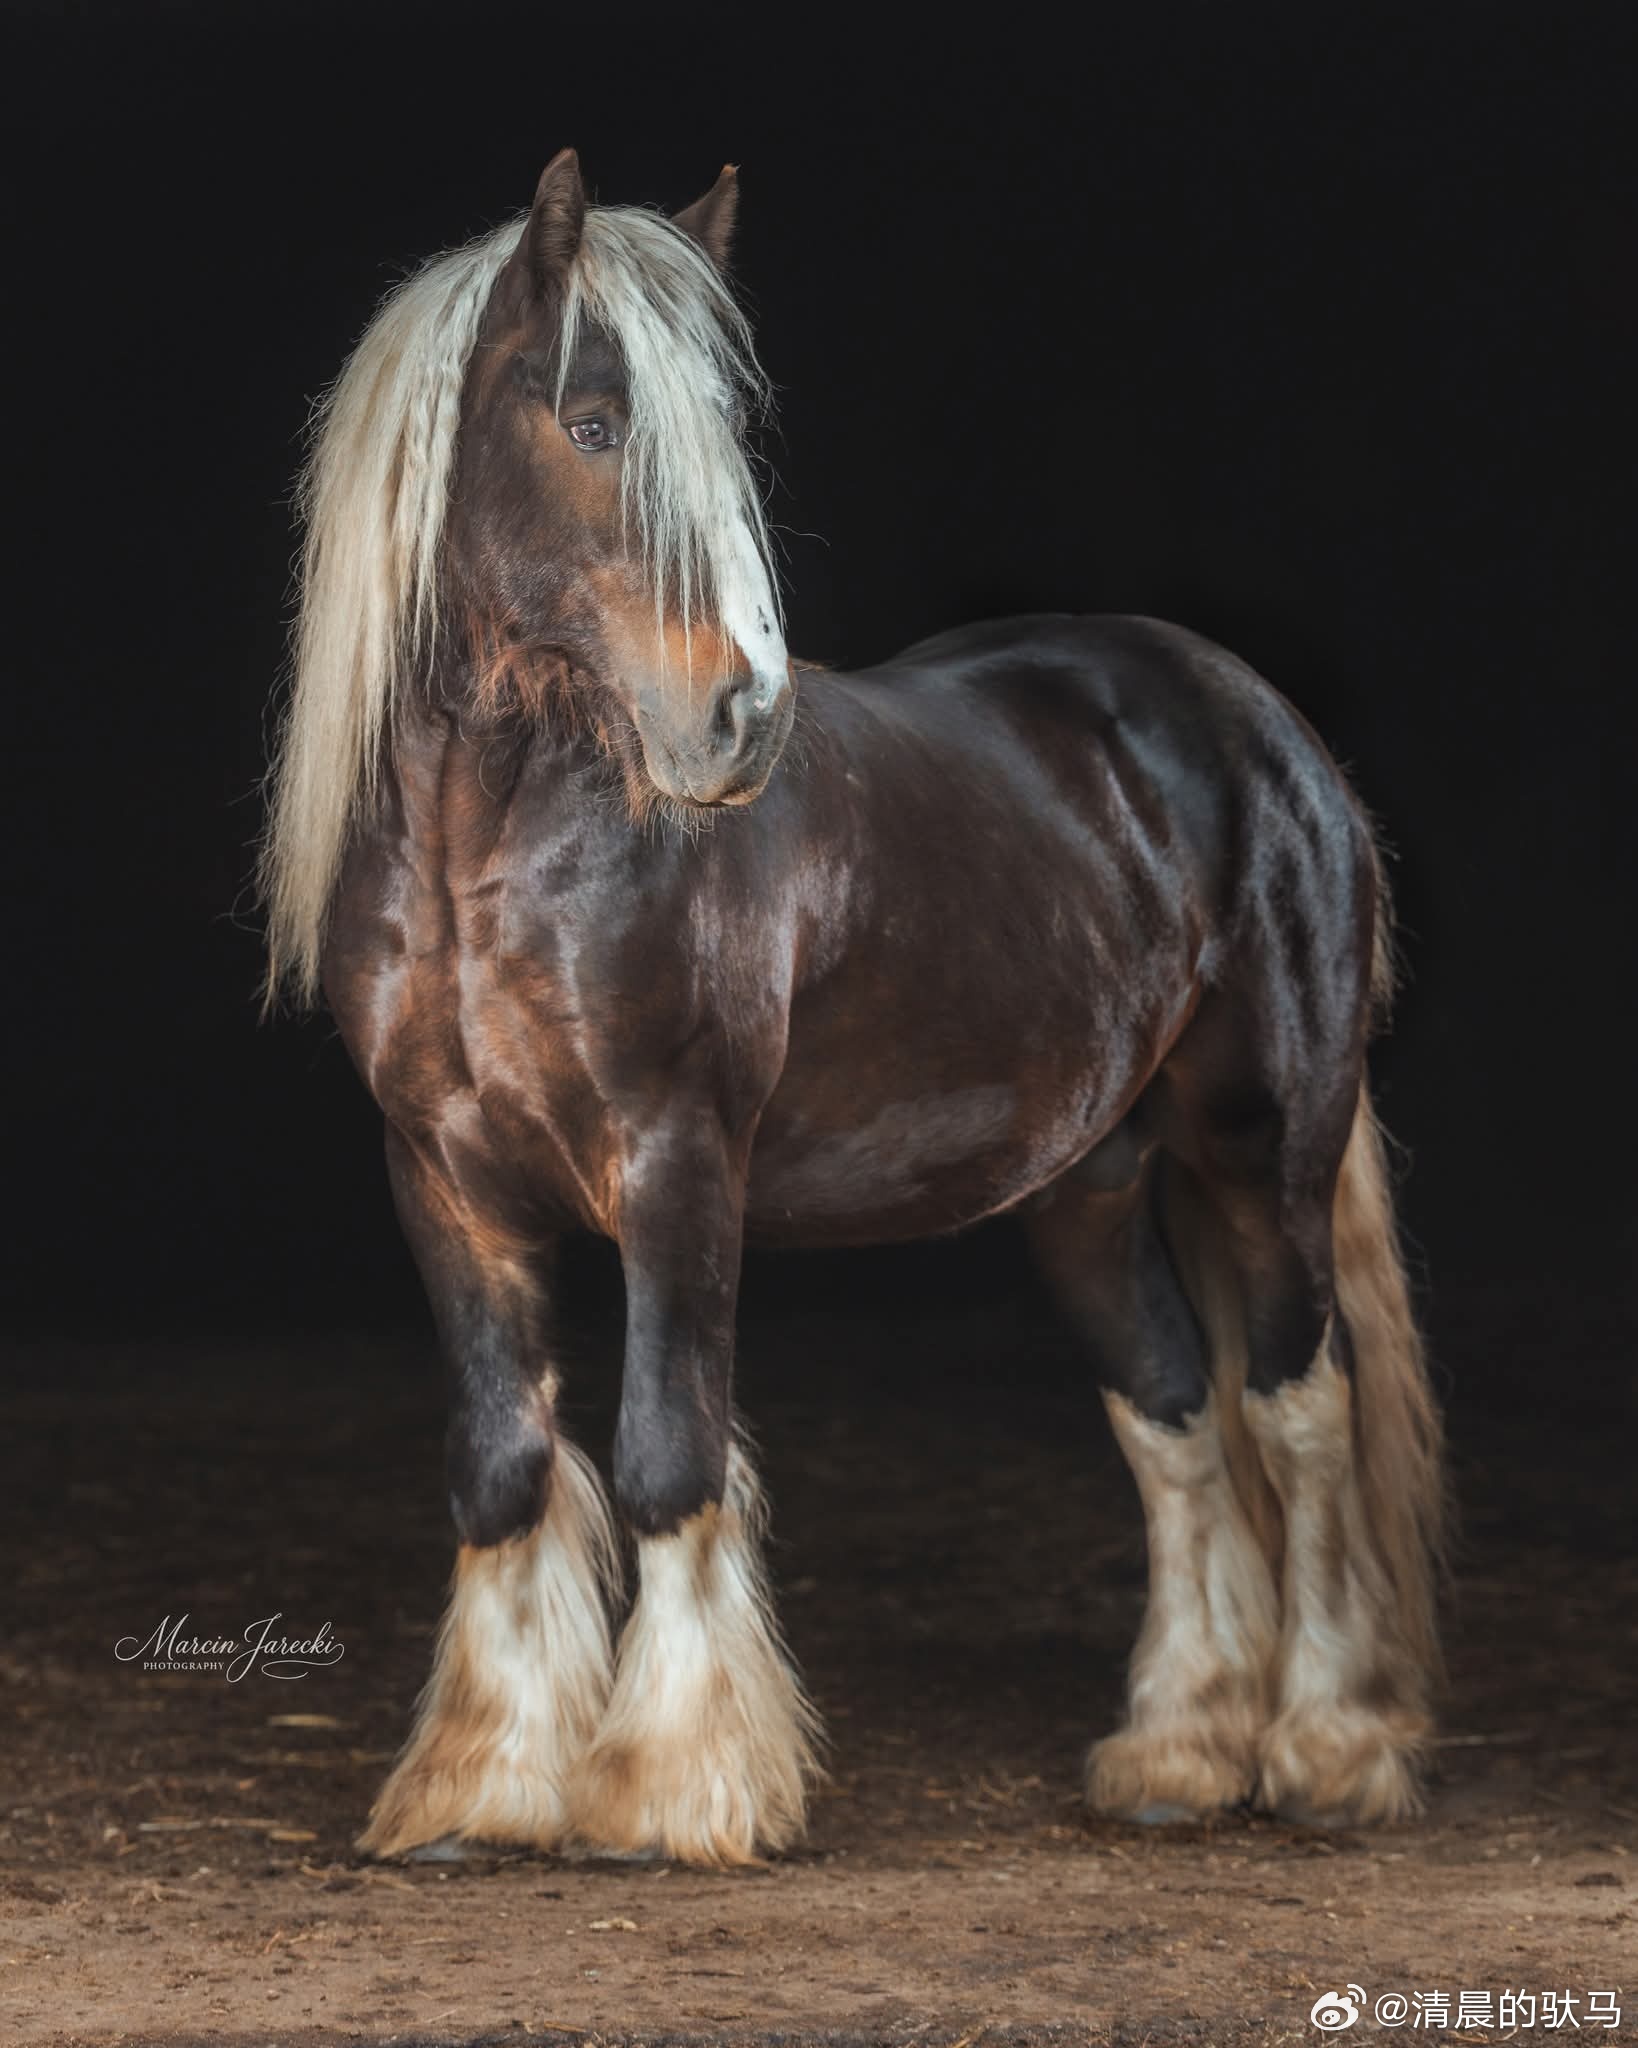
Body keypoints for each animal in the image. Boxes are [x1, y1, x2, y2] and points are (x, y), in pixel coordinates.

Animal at [261, 149, 1445, 1868]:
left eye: (711, 439)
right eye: (594, 422)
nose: (739, 719)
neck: (493, 848)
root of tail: (1256, 721)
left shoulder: (679, 1161)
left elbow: (667, 1455)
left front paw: (670, 1786)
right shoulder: (444, 1181)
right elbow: (501, 1468)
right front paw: (478, 1787)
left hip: (1263, 1148)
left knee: (1299, 1404)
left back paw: (1329, 1747)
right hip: (1086, 1188)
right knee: (1170, 1416)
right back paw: (1176, 1751)